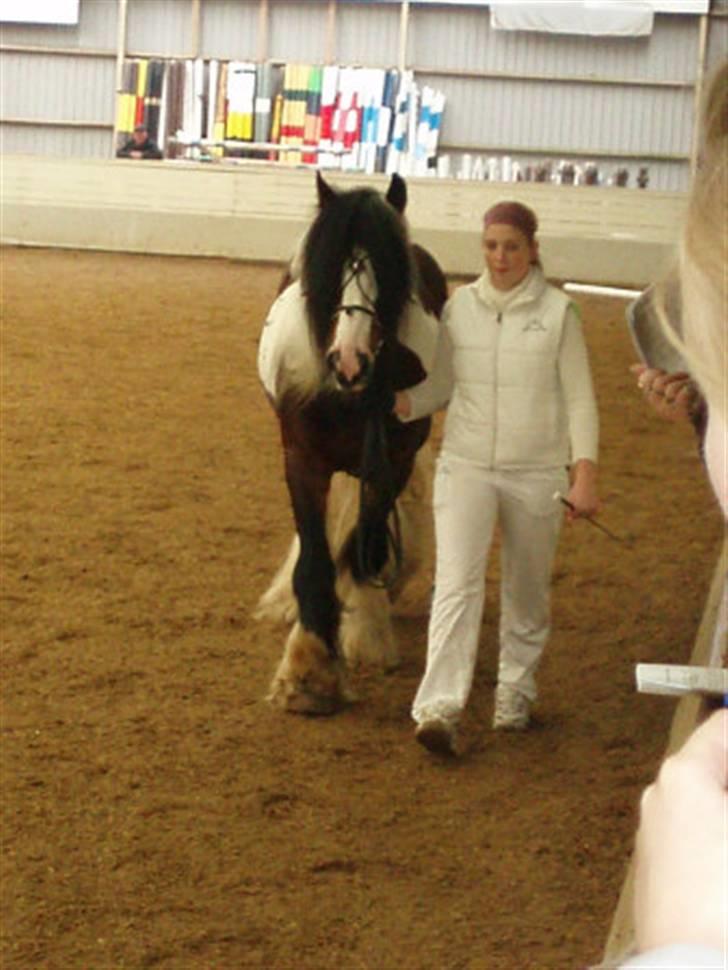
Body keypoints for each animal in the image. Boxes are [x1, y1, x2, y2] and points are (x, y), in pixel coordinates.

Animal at [256, 170, 450, 712]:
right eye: (330, 267)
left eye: (386, 271)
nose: (349, 361)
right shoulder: (303, 462)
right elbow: (317, 560)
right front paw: (308, 670)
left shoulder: (392, 463)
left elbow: (364, 545)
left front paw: (364, 634)